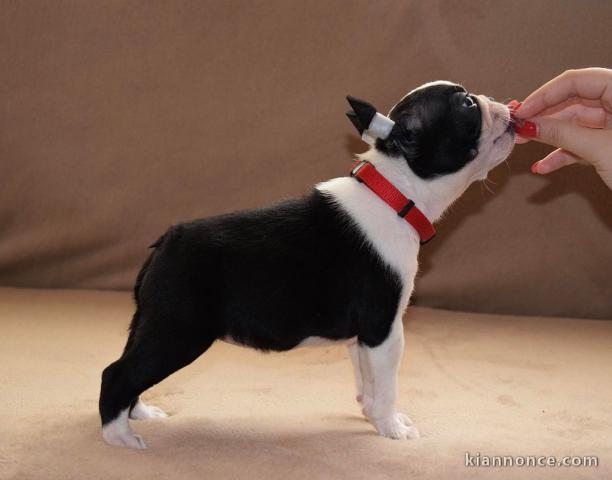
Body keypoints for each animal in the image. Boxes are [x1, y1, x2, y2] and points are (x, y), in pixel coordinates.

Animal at [98, 80, 512, 448]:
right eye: (467, 105)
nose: (499, 102)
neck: (396, 194)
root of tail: (168, 240)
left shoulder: (363, 339)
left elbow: (366, 381)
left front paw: (372, 416)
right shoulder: (384, 329)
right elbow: (386, 385)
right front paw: (393, 428)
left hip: (151, 321)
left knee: (128, 367)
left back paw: (139, 414)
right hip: (179, 331)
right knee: (117, 373)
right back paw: (120, 438)